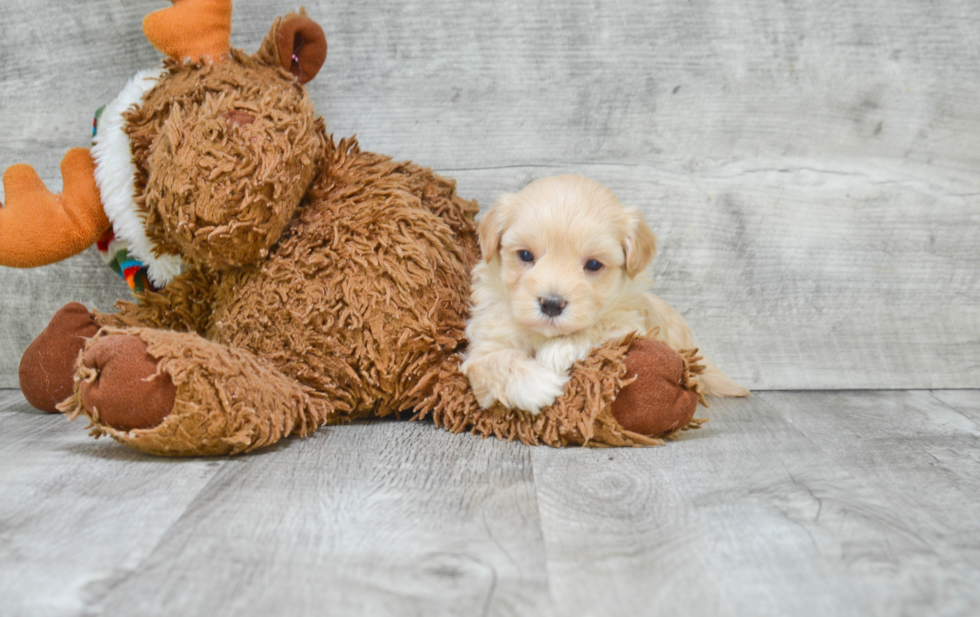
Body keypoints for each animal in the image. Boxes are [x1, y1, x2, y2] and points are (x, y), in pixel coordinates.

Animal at [464, 173, 748, 414]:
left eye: (593, 265)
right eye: (525, 255)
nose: (552, 304)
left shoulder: (633, 324)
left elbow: (602, 325)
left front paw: (560, 348)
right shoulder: (485, 344)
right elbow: (490, 362)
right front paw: (536, 383)